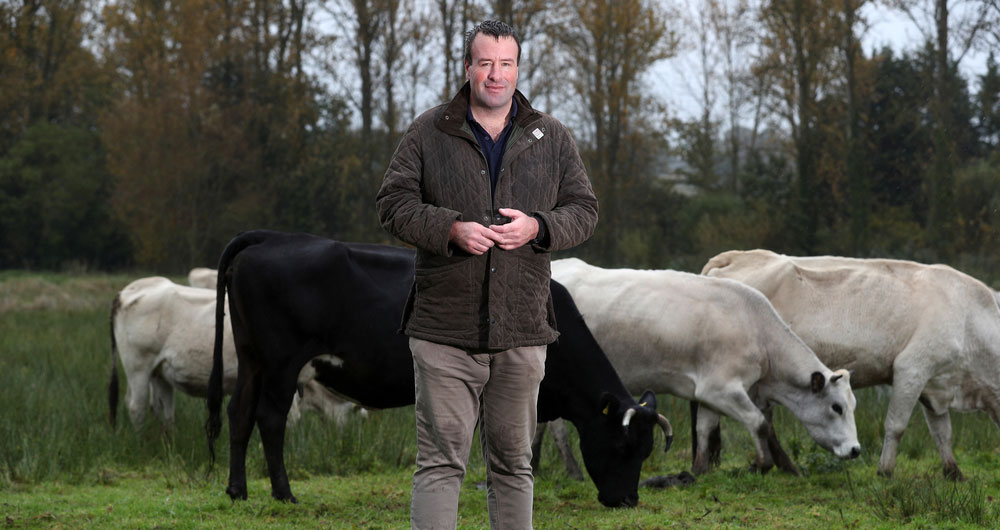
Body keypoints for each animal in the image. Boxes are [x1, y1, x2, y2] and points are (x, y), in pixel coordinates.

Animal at [108, 276, 360, 428]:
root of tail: (129, 290)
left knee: (164, 412)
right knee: (136, 407)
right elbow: (288, 417)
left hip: (159, 372)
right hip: (138, 366)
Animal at [203, 230, 672, 508]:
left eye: (647, 451)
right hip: (282, 362)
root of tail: (271, 239)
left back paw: (237, 491)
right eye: (622, 446)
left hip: (251, 358)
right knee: (269, 418)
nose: (628, 501)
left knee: (238, 414)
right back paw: (283, 493)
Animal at [548, 256, 860, 474]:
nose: (856, 449)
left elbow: (704, 429)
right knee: (556, 427)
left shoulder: (708, 394)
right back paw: (573, 471)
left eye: (852, 405)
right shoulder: (720, 388)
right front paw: (762, 464)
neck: (759, 332)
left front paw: (698, 470)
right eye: (837, 407)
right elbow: (758, 422)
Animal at [704, 249, 1000, 478]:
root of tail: (737, 255)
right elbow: (896, 425)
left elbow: (942, 432)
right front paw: (885, 471)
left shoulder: (936, 383)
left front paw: (953, 472)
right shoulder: (912, 367)